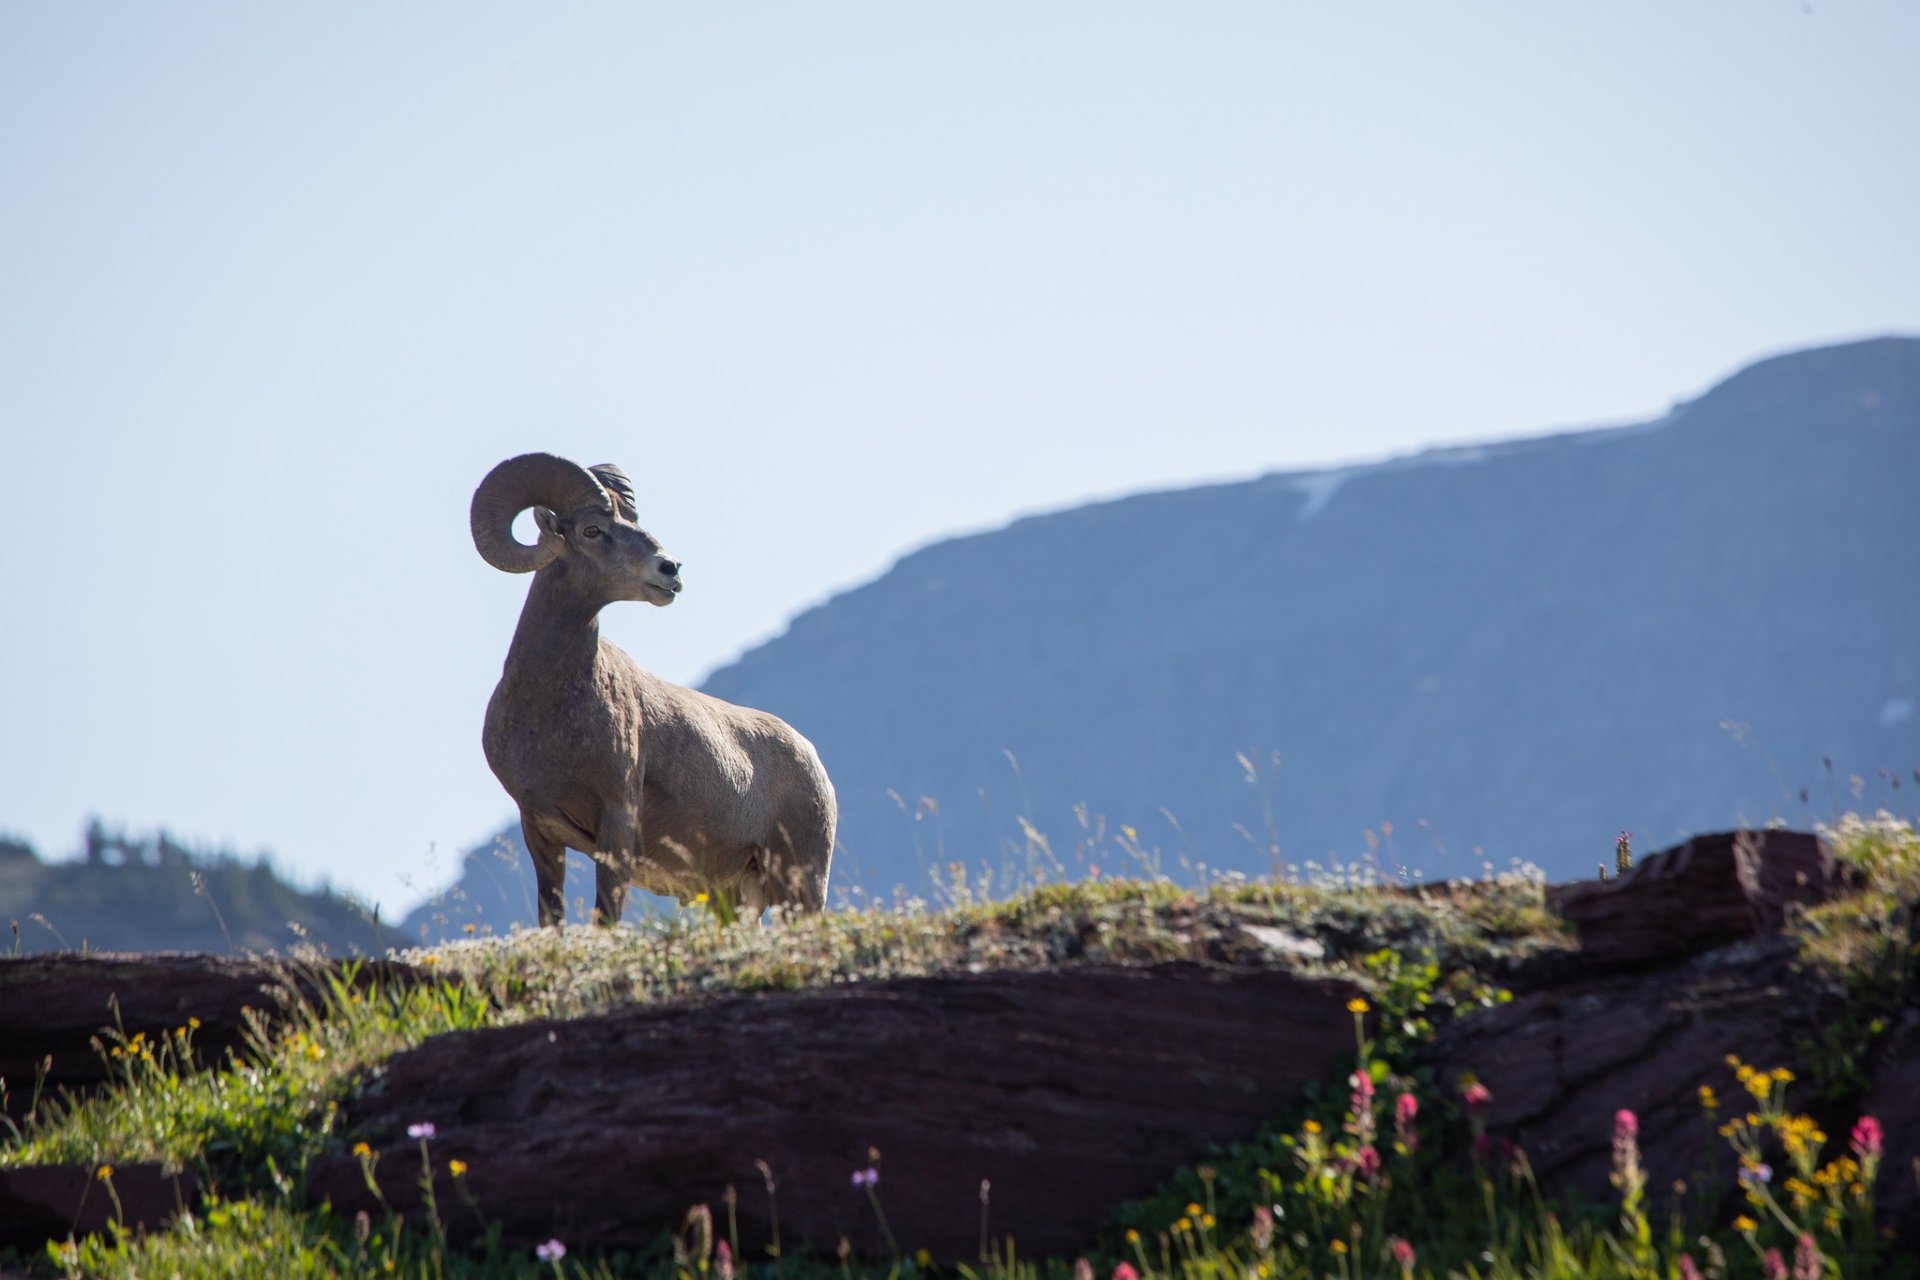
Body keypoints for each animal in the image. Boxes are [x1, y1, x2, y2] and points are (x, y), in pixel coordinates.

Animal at [470, 454, 833, 924]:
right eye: (592, 530)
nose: (670, 569)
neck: (549, 713)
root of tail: (812, 758)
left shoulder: (617, 822)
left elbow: (606, 917)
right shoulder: (539, 830)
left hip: (801, 883)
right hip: (735, 896)